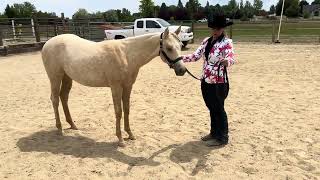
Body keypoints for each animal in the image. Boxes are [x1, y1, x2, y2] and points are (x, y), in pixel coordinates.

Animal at [40, 27, 185, 147]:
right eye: (169, 47)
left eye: (181, 45)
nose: (182, 70)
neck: (126, 55)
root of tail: (47, 43)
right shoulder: (116, 87)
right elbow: (118, 111)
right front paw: (120, 139)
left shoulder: (127, 86)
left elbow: (127, 109)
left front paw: (130, 134)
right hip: (55, 77)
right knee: (55, 99)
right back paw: (59, 129)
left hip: (67, 77)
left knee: (63, 97)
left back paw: (72, 125)